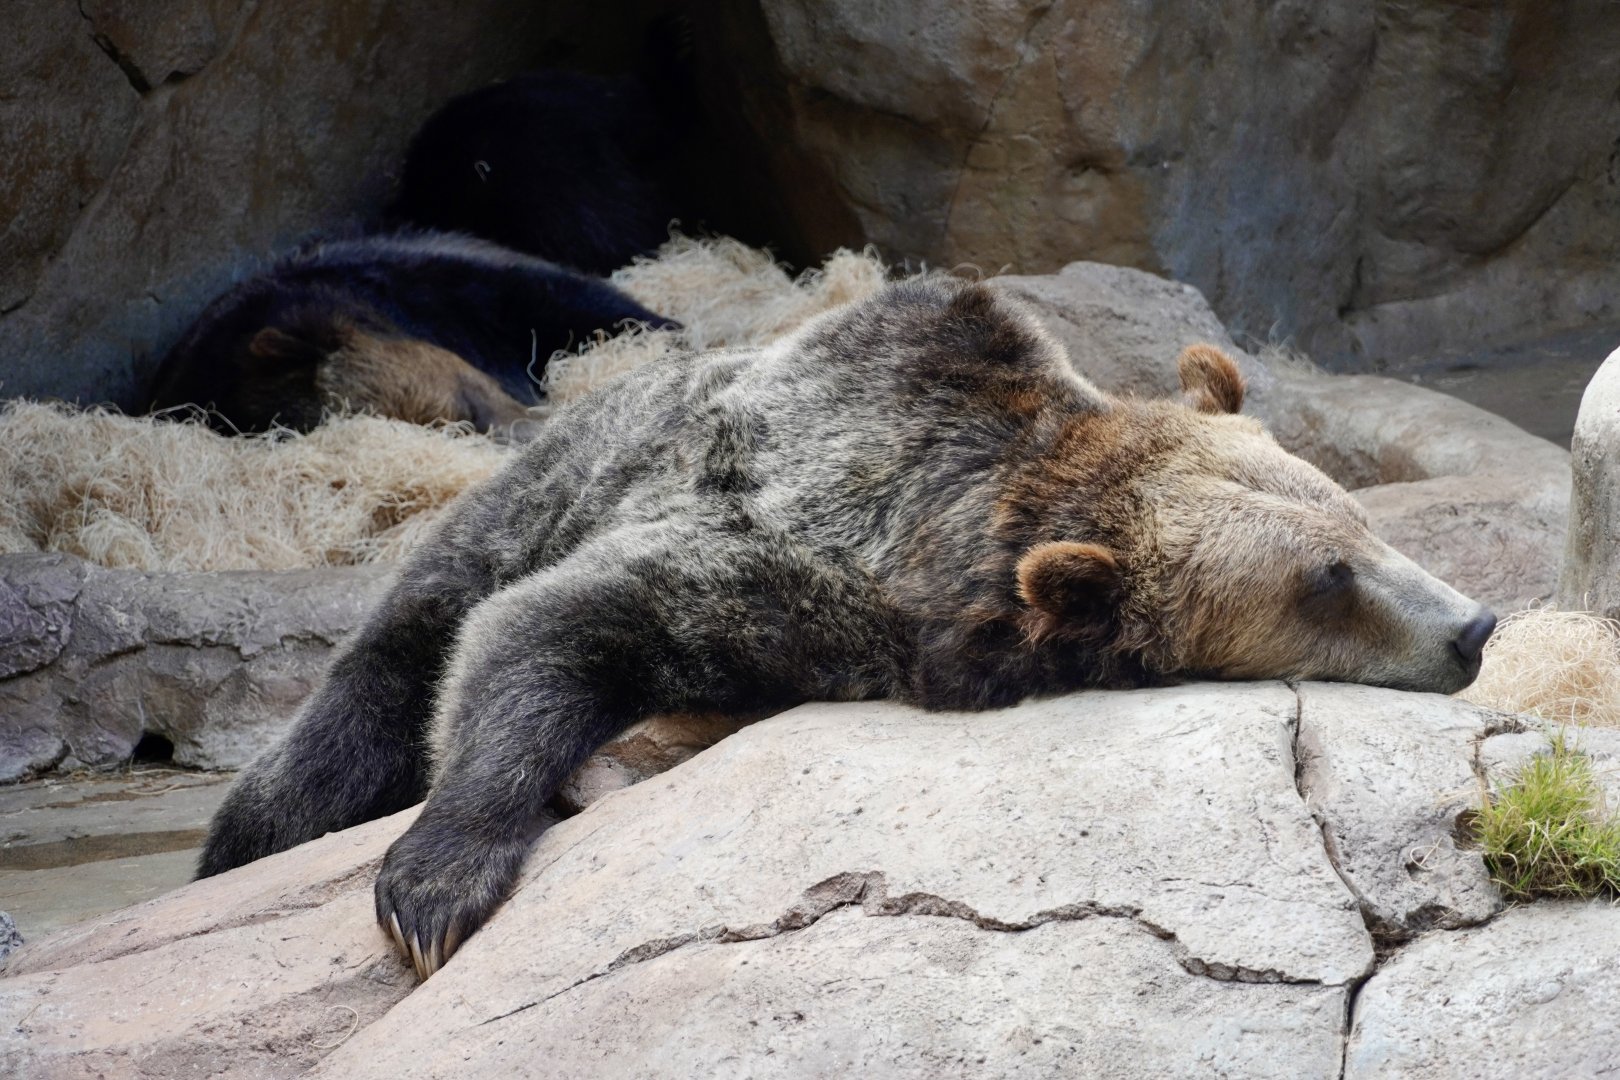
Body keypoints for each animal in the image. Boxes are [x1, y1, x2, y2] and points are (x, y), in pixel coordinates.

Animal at [197, 279, 1496, 980]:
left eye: (1353, 519)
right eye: (1325, 578)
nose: (1475, 625)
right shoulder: (794, 558)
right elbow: (553, 626)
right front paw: (435, 885)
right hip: (534, 490)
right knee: (372, 685)